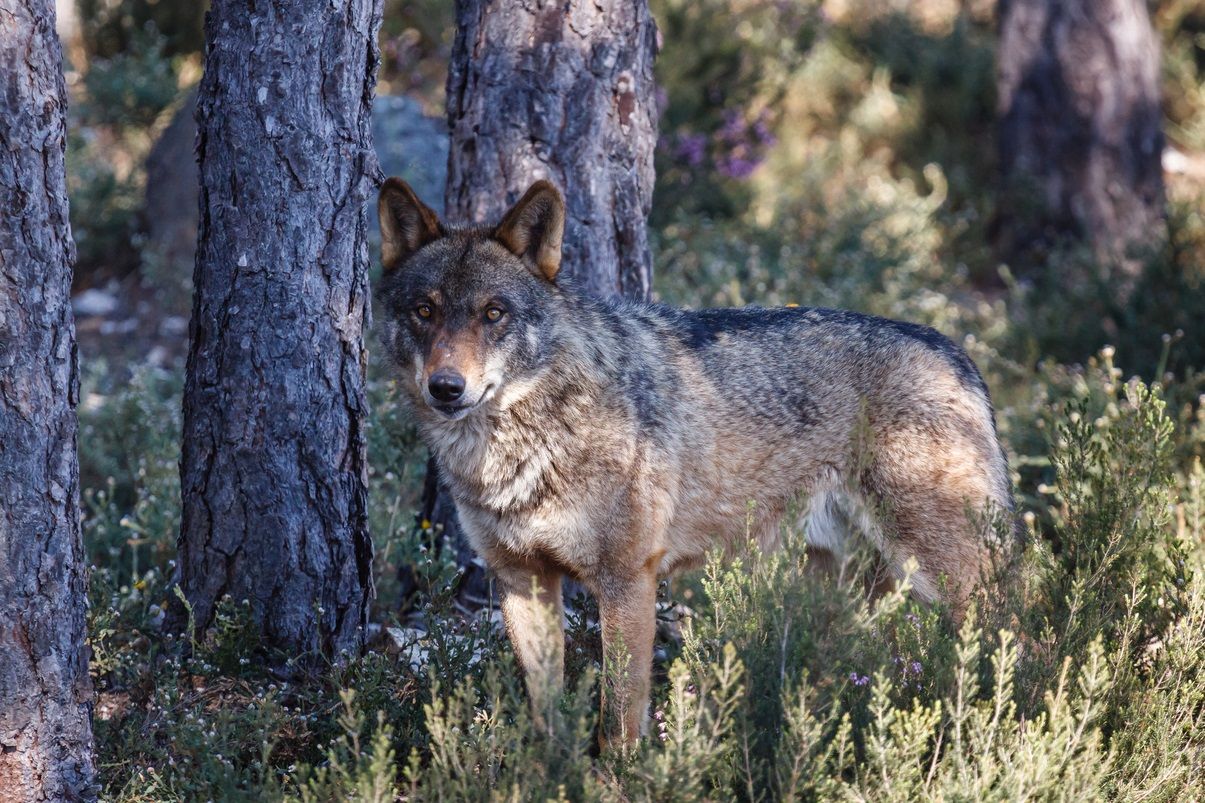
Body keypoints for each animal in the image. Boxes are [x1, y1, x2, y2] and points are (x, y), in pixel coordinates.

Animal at [373, 174, 1007, 742]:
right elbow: (547, 712)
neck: (519, 452)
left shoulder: (627, 580)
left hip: (943, 578)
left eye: (493, 313)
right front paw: (552, 774)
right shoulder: (522, 579)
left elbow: (620, 720)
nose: (445, 387)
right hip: (838, 588)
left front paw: (618, 780)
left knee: (1013, 640)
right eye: (425, 311)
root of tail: (955, 352)